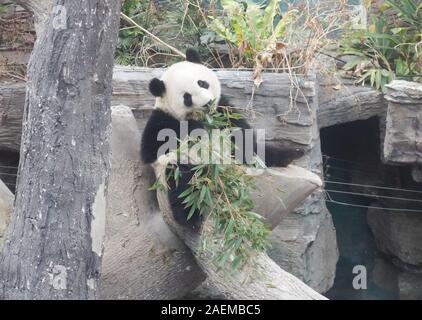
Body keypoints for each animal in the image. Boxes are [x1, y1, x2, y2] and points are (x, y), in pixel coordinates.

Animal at [142, 48, 304, 230]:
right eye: (187, 97)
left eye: (202, 83)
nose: (206, 103)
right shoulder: (162, 119)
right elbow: (153, 148)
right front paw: (195, 128)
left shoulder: (223, 109)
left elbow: (241, 135)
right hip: (179, 171)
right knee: (183, 181)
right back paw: (190, 218)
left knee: (260, 152)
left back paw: (292, 154)